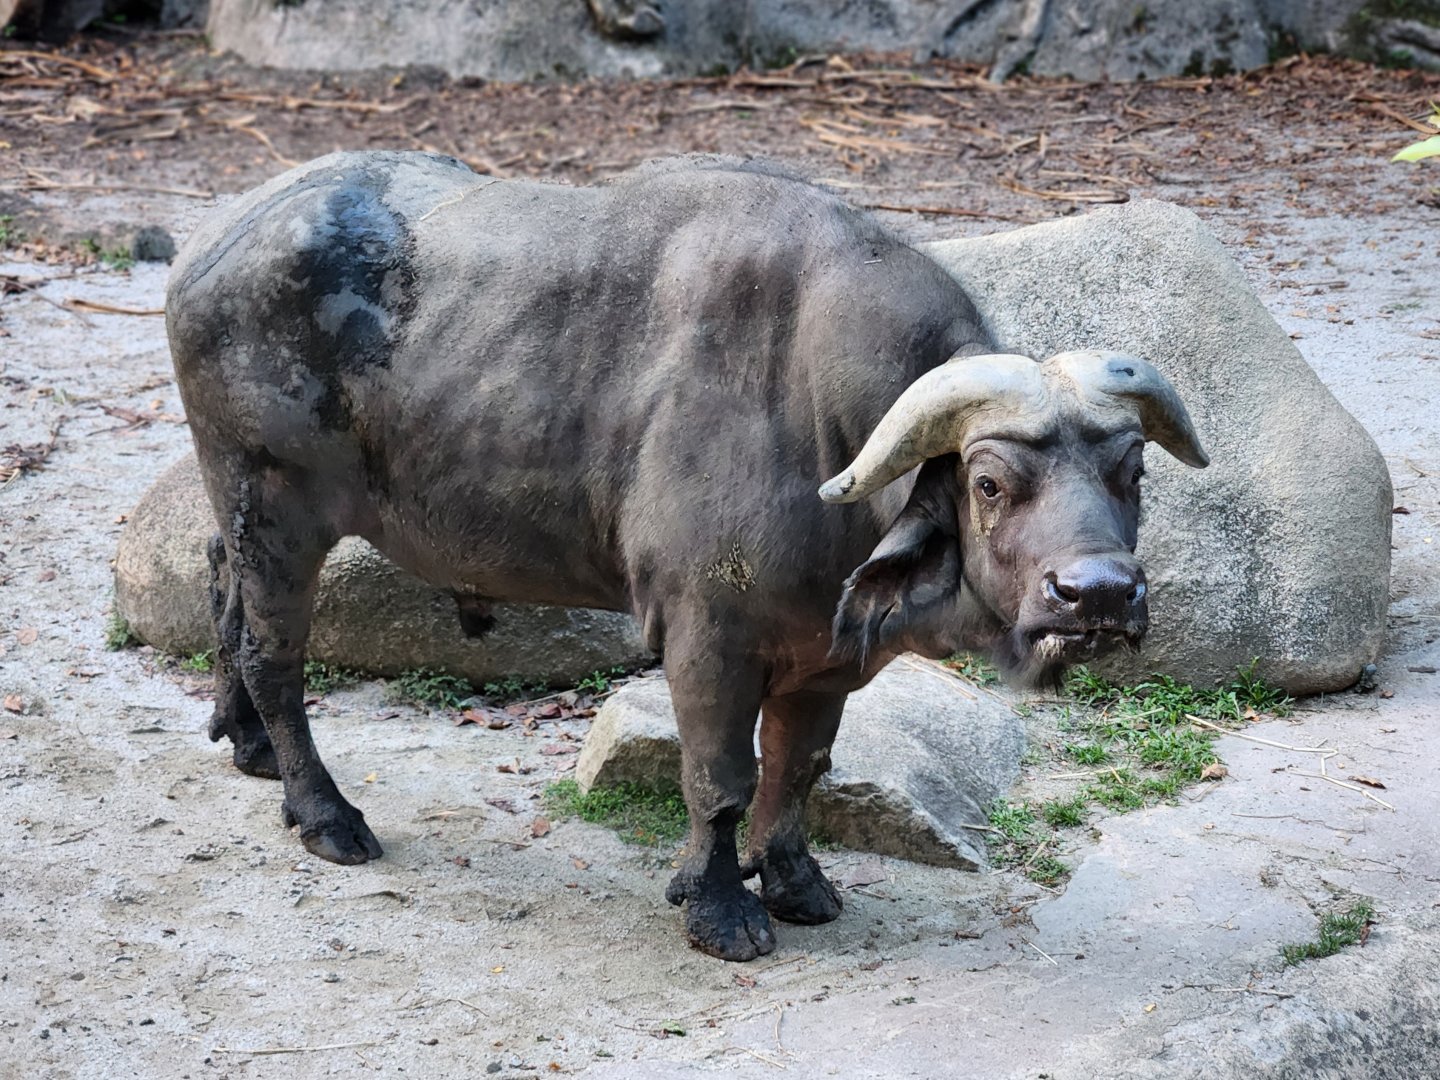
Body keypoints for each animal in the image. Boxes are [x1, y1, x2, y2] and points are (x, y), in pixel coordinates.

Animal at [167, 152, 1207, 961]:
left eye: (1131, 471)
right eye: (989, 482)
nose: (1097, 594)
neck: (815, 418)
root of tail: (210, 244)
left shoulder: (823, 652)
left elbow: (800, 768)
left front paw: (793, 880)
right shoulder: (710, 637)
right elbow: (720, 780)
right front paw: (718, 909)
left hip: (244, 510)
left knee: (220, 584)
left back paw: (249, 746)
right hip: (275, 502)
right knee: (275, 652)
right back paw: (325, 813)